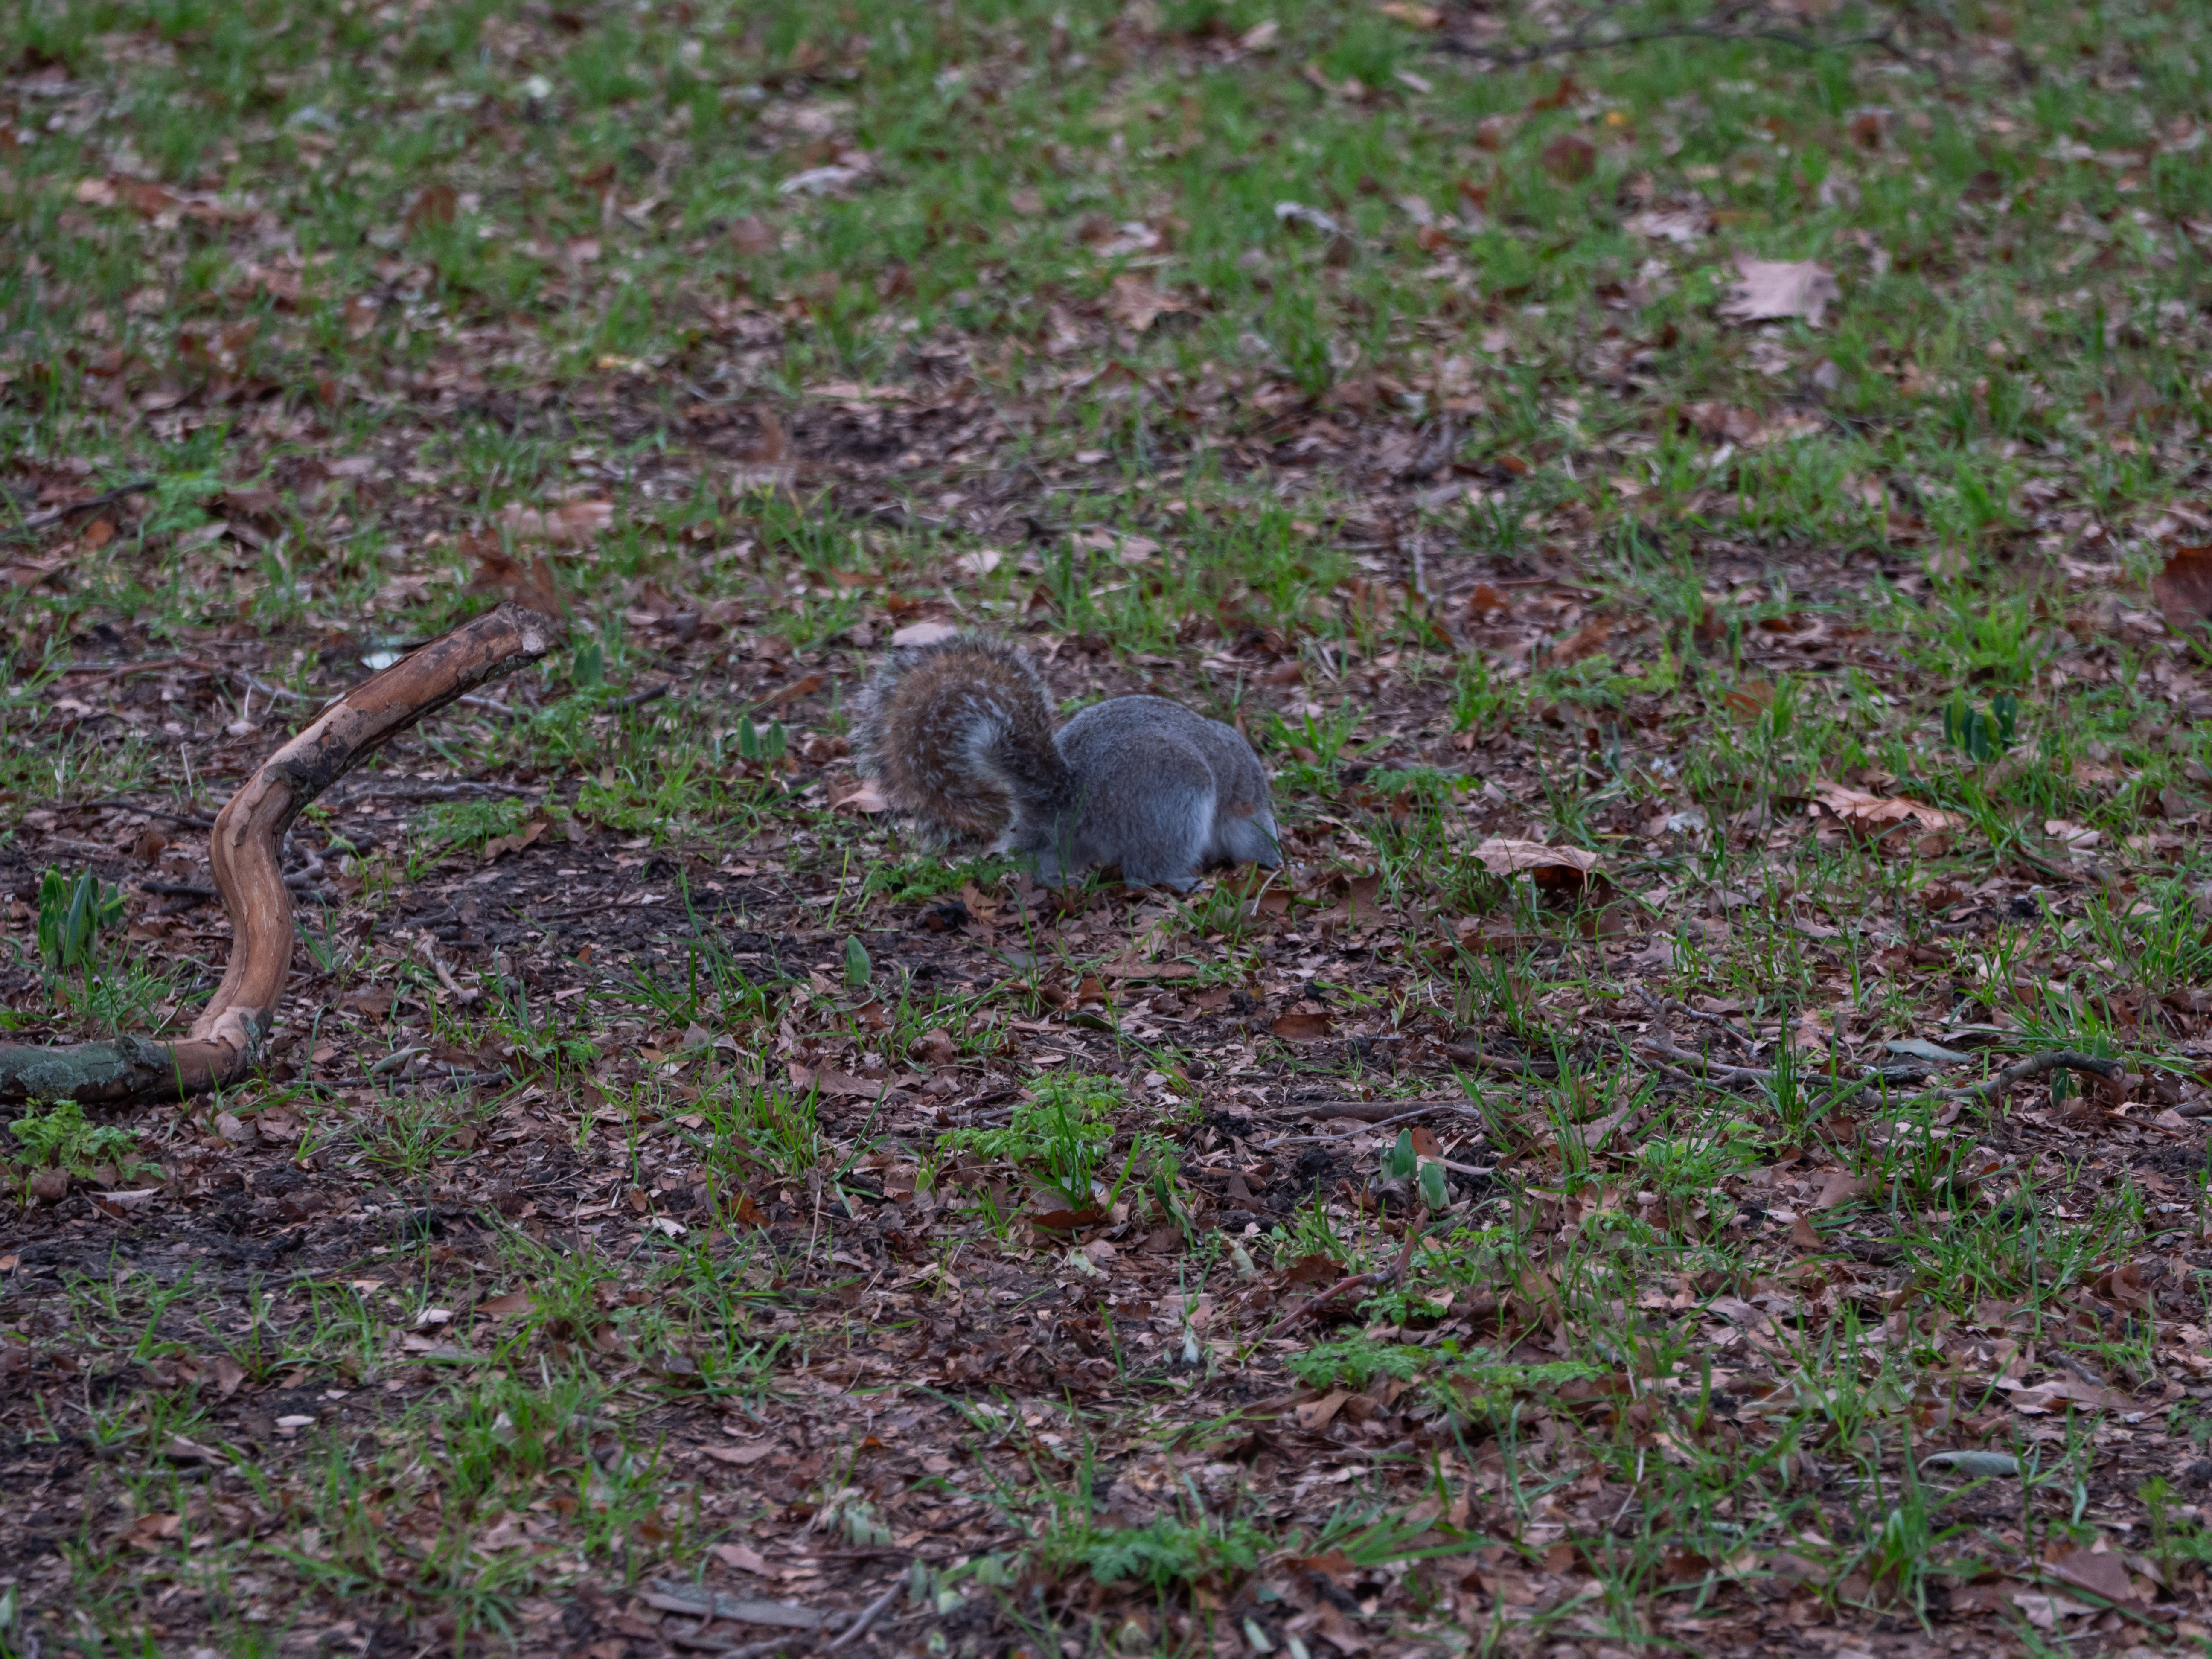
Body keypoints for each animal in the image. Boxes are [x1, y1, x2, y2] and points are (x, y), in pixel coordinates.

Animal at [853, 633, 1281, 891]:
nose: (1279, 864)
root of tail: (1069, 795)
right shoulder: (1243, 810)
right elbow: (1253, 834)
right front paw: (1272, 860)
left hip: (1068, 838)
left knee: (1046, 860)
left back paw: (1058, 882)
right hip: (1176, 802)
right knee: (1144, 873)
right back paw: (1179, 881)